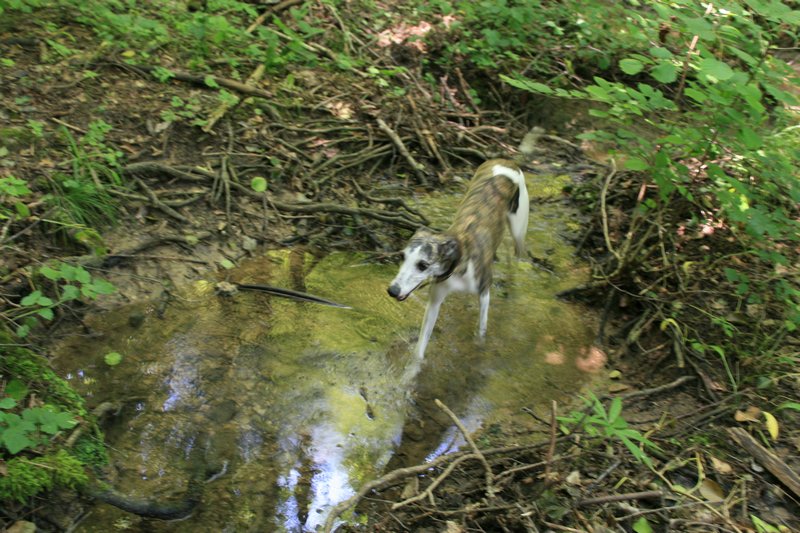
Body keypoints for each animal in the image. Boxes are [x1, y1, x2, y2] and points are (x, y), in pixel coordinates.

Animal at [390, 150, 536, 358]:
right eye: (402, 257)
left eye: (423, 265)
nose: (392, 291)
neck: (459, 257)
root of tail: (505, 160)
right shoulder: (435, 300)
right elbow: (419, 351)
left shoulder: (484, 293)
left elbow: (481, 334)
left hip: (518, 229)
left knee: (515, 256)